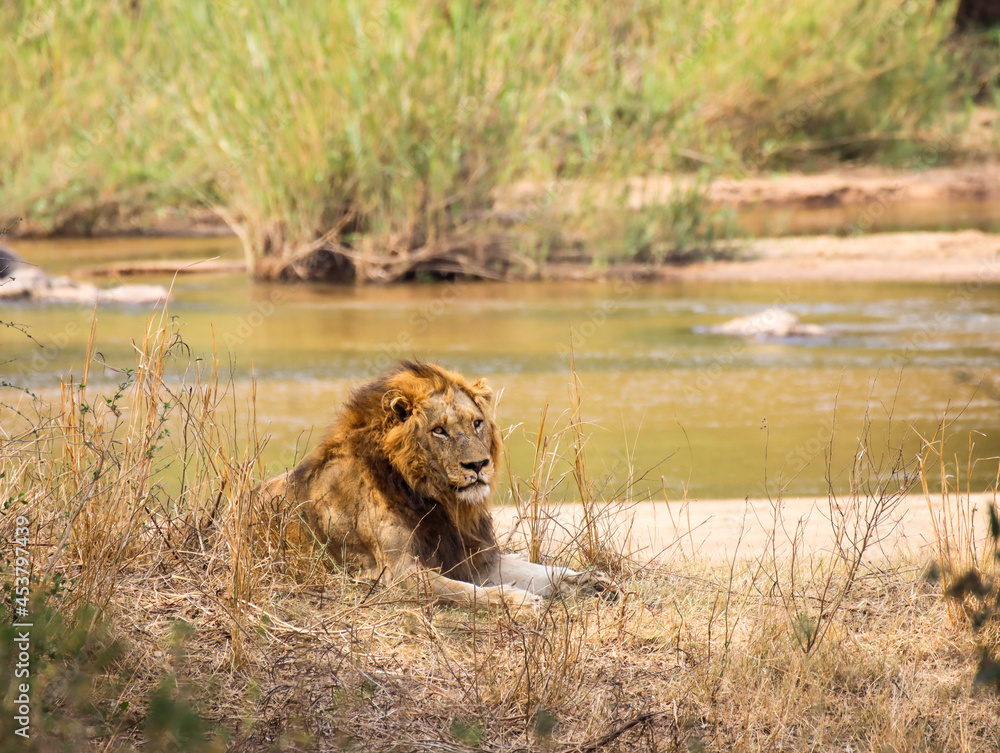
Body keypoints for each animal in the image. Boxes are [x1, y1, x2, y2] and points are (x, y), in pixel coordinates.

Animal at [259, 360, 605, 609]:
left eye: (477, 423)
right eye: (439, 430)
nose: (478, 465)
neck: (439, 501)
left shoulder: (472, 556)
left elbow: (539, 571)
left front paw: (591, 580)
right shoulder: (397, 574)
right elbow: (464, 591)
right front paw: (517, 600)